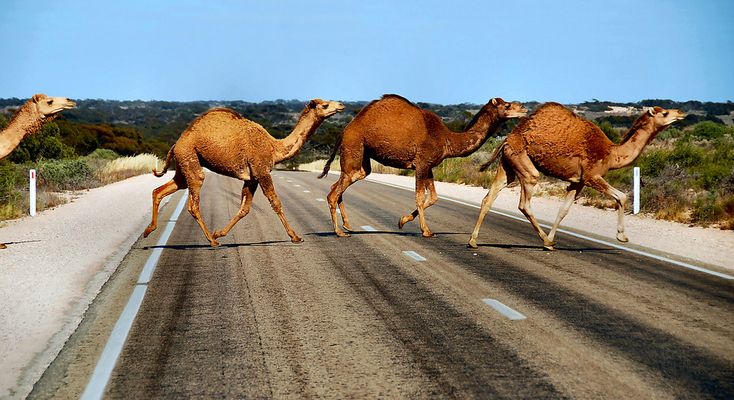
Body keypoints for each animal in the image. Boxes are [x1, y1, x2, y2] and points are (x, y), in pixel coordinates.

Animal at [144, 99, 345, 246]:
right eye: (325, 105)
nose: (341, 105)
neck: (274, 148)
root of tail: (175, 145)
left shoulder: (251, 178)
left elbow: (244, 208)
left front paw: (220, 232)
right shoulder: (262, 171)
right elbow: (276, 202)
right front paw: (295, 236)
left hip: (184, 165)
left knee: (160, 190)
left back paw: (149, 230)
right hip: (190, 159)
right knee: (193, 203)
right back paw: (212, 241)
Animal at [319, 94, 527, 237]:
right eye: (507, 105)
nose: (524, 108)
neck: (447, 139)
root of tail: (345, 130)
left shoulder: (429, 166)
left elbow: (433, 197)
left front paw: (402, 221)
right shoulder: (421, 163)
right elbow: (420, 198)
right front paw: (426, 231)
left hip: (363, 157)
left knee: (343, 183)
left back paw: (347, 226)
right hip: (354, 146)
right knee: (334, 192)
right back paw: (339, 232)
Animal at [467, 103, 686, 250]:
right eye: (665, 113)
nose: (681, 113)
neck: (612, 153)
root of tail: (507, 139)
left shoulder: (577, 182)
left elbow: (564, 210)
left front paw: (551, 239)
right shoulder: (591, 176)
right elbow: (622, 196)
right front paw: (622, 237)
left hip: (508, 167)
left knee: (489, 197)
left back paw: (473, 241)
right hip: (525, 166)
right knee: (524, 203)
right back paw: (545, 240)